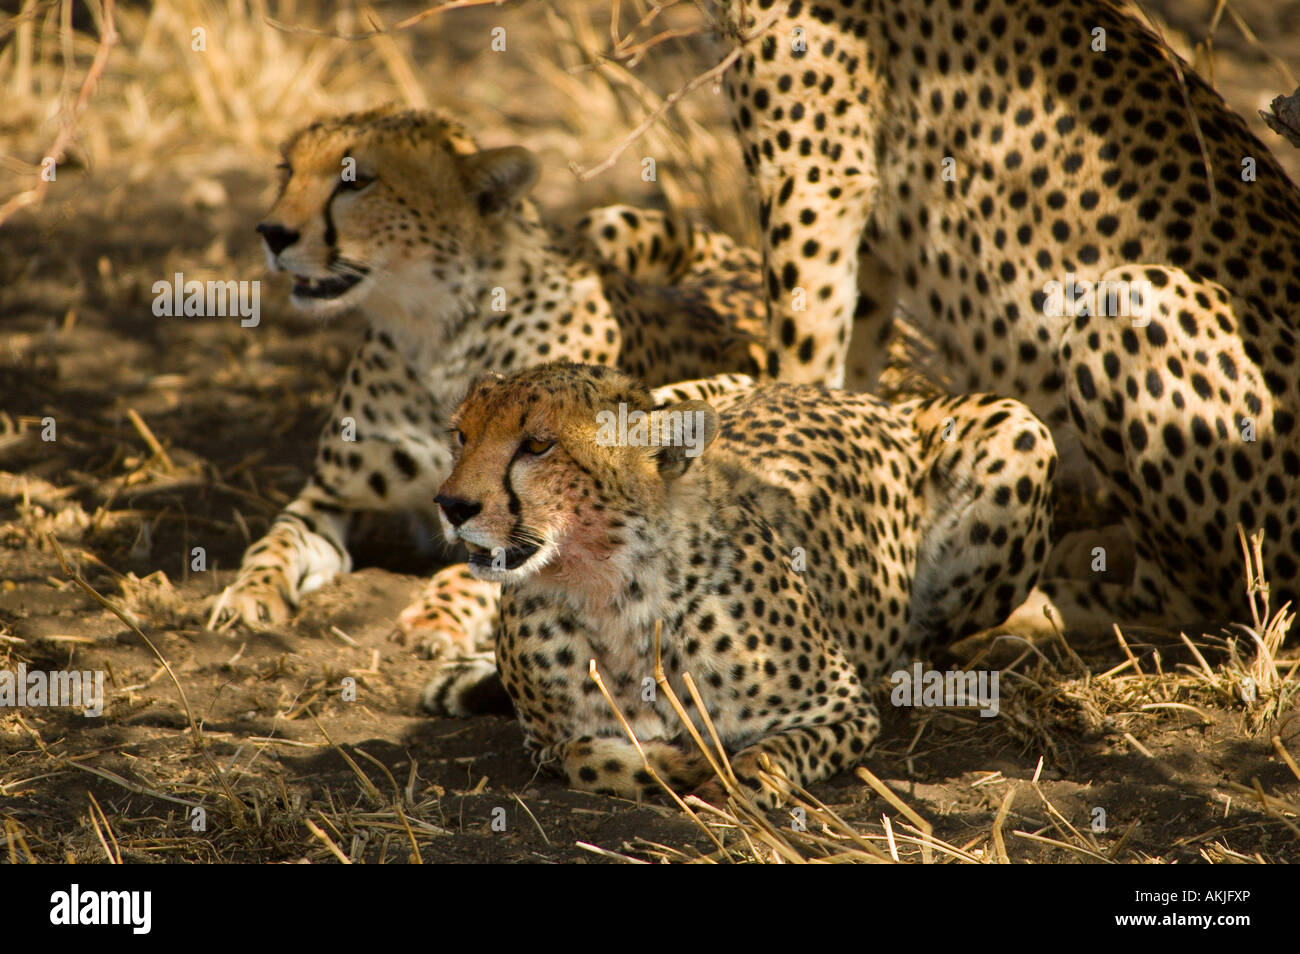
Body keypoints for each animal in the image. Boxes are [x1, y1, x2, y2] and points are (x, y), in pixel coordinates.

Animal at [207, 104, 769, 653]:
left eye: (357, 181)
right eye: (286, 170)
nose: (272, 233)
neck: (433, 328)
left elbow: (485, 565)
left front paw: (434, 618)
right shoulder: (331, 496)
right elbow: (276, 540)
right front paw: (246, 594)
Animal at [422, 360, 1056, 806]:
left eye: (537, 444)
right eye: (461, 436)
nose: (450, 505)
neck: (611, 590)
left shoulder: (844, 709)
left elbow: (771, 753)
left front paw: (735, 780)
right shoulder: (542, 739)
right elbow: (583, 753)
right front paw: (669, 763)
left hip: (1020, 429)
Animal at [711, 0, 1300, 629]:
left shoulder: (814, 182)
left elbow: (803, 354)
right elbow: (852, 362)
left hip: (1127, 298)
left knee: (1190, 600)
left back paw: (1040, 603)